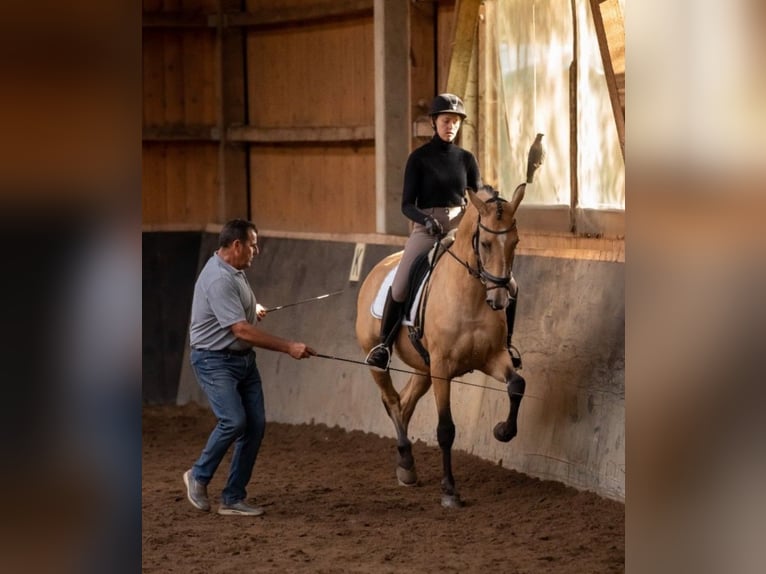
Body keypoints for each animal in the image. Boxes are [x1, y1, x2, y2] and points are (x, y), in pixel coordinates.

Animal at [356, 184, 528, 508]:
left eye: (515, 242)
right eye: (485, 243)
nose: (499, 299)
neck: (471, 295)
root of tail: (379, 268)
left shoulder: (493, 357)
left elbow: (517, 385)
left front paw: (503, 431)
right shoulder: (442, 368)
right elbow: (446, 429)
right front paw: (449, 490)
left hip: (423, 369)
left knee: (405, 403)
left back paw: (406, 464)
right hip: (379, 361)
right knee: (391, 399)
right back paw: (406, 463)